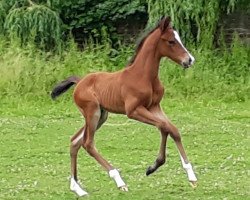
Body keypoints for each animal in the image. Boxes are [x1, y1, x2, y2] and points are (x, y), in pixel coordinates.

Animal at [51, 16, 198, 196]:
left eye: (179, 39)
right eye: (171, 41)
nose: (189, 60)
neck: (143, 76)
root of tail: (79, 82)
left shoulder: (155, 107)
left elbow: (171, 129)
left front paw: (186, 175)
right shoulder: (133, 110)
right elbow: (164, 126)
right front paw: (155, 166)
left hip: (101, 115)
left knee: (75, 141)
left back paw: (77, 188)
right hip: (92, 113)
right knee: (88, 143)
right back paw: (119, 181)